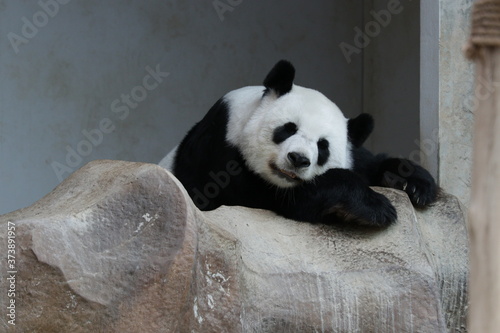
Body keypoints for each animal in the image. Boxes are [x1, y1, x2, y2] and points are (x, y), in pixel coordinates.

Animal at [165, 59, 438, 227]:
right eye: (288, 129)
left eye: (323, 146)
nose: (298, 159)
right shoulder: (216, 150)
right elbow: (274, 196)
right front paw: (376, 207)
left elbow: (369, 164)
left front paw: (414, 184)